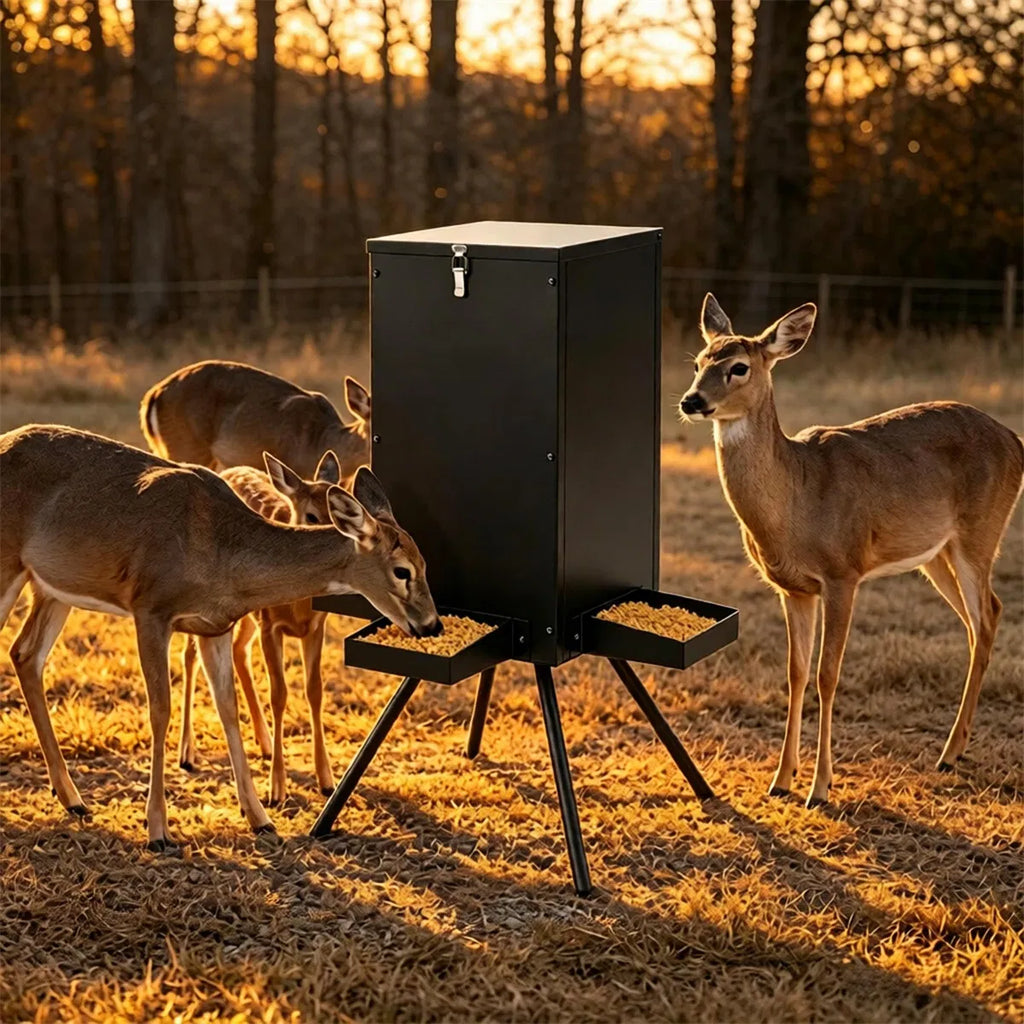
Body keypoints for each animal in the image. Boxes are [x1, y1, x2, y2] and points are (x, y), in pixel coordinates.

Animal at [179, 449, 344, 806]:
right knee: (190, 655)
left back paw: (265, 742)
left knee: (238, 651)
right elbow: (279, 694)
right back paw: (187, 753)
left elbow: (314, 691)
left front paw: (327, 780)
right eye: (312, 516)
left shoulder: (316, 627)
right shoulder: (271, 625)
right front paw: (276, 789)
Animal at [679, 294, 1023, 808]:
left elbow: (828, 673)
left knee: (986, 616)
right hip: (935, 553)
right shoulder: (793, 589)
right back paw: (954, 749)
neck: (796, 501)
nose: (691, 400)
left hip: (980, 533)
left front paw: (820, 788)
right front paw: (781, 780)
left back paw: (947, 753)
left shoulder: (843, 573)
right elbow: (796, 672)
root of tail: (1015, 441)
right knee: (981, 618)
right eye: (700, 361)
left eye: (739, 367)